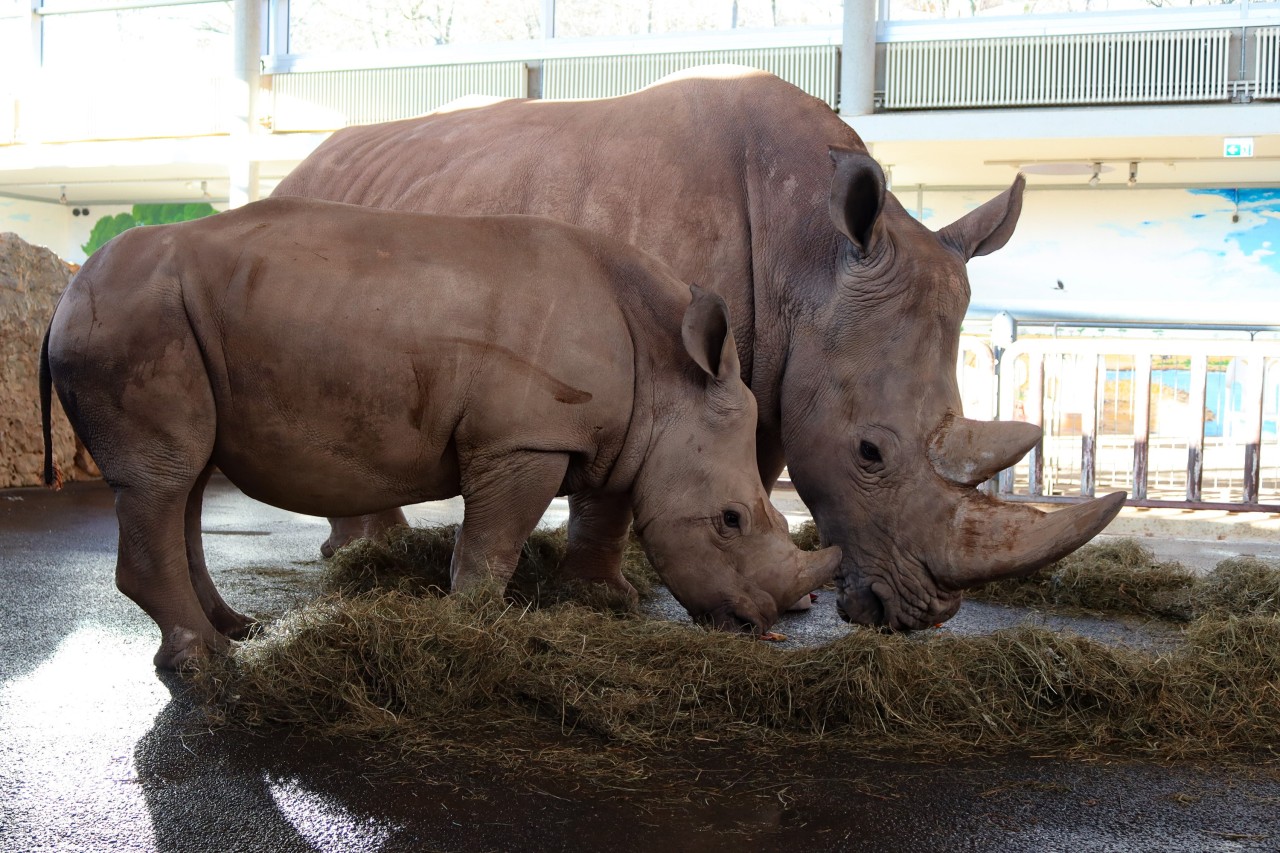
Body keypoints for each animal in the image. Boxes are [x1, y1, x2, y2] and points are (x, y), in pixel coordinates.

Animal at [42, 195, 839, 666]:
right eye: (732, 520)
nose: (760, 622)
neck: (672, 374)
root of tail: (63, 297)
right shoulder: (524, 438)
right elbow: (493, 542)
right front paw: (476, 622)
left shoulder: (618, 436)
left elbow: (605, 509)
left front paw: (599, 600)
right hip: (134, 319)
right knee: (163, 480)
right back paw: (202, 661)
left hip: (161, 318)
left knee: (184, 482)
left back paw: (236, 630)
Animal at [275, 66, 1126, 627]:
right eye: (870, 453)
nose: (926, 613)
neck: (812, 259)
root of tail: (301, 161)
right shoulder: (645, 360)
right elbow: (615, 486)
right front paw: (602, 599)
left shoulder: (780, 368)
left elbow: (758, 464)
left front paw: (788, 591)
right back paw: (354, 556)